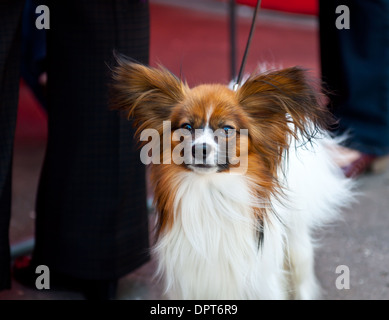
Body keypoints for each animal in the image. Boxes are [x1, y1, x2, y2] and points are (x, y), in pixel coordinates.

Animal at [110, 57, 354, 300]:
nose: (200, 149)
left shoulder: (259, 283)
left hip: (296, 248)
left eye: (227, 129)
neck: (211, 192)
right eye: (187, 127)